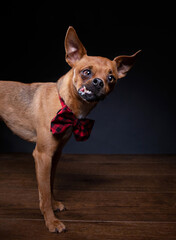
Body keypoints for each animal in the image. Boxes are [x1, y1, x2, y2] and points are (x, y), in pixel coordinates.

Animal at [0, 27, 140, 233]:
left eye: (111, 78)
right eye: (86, 72)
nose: (99, 82)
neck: (65, 103)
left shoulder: (55, 154)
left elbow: (49, 184)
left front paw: (53, 204)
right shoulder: (42, 155)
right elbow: (44, 191)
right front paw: (51, 221)